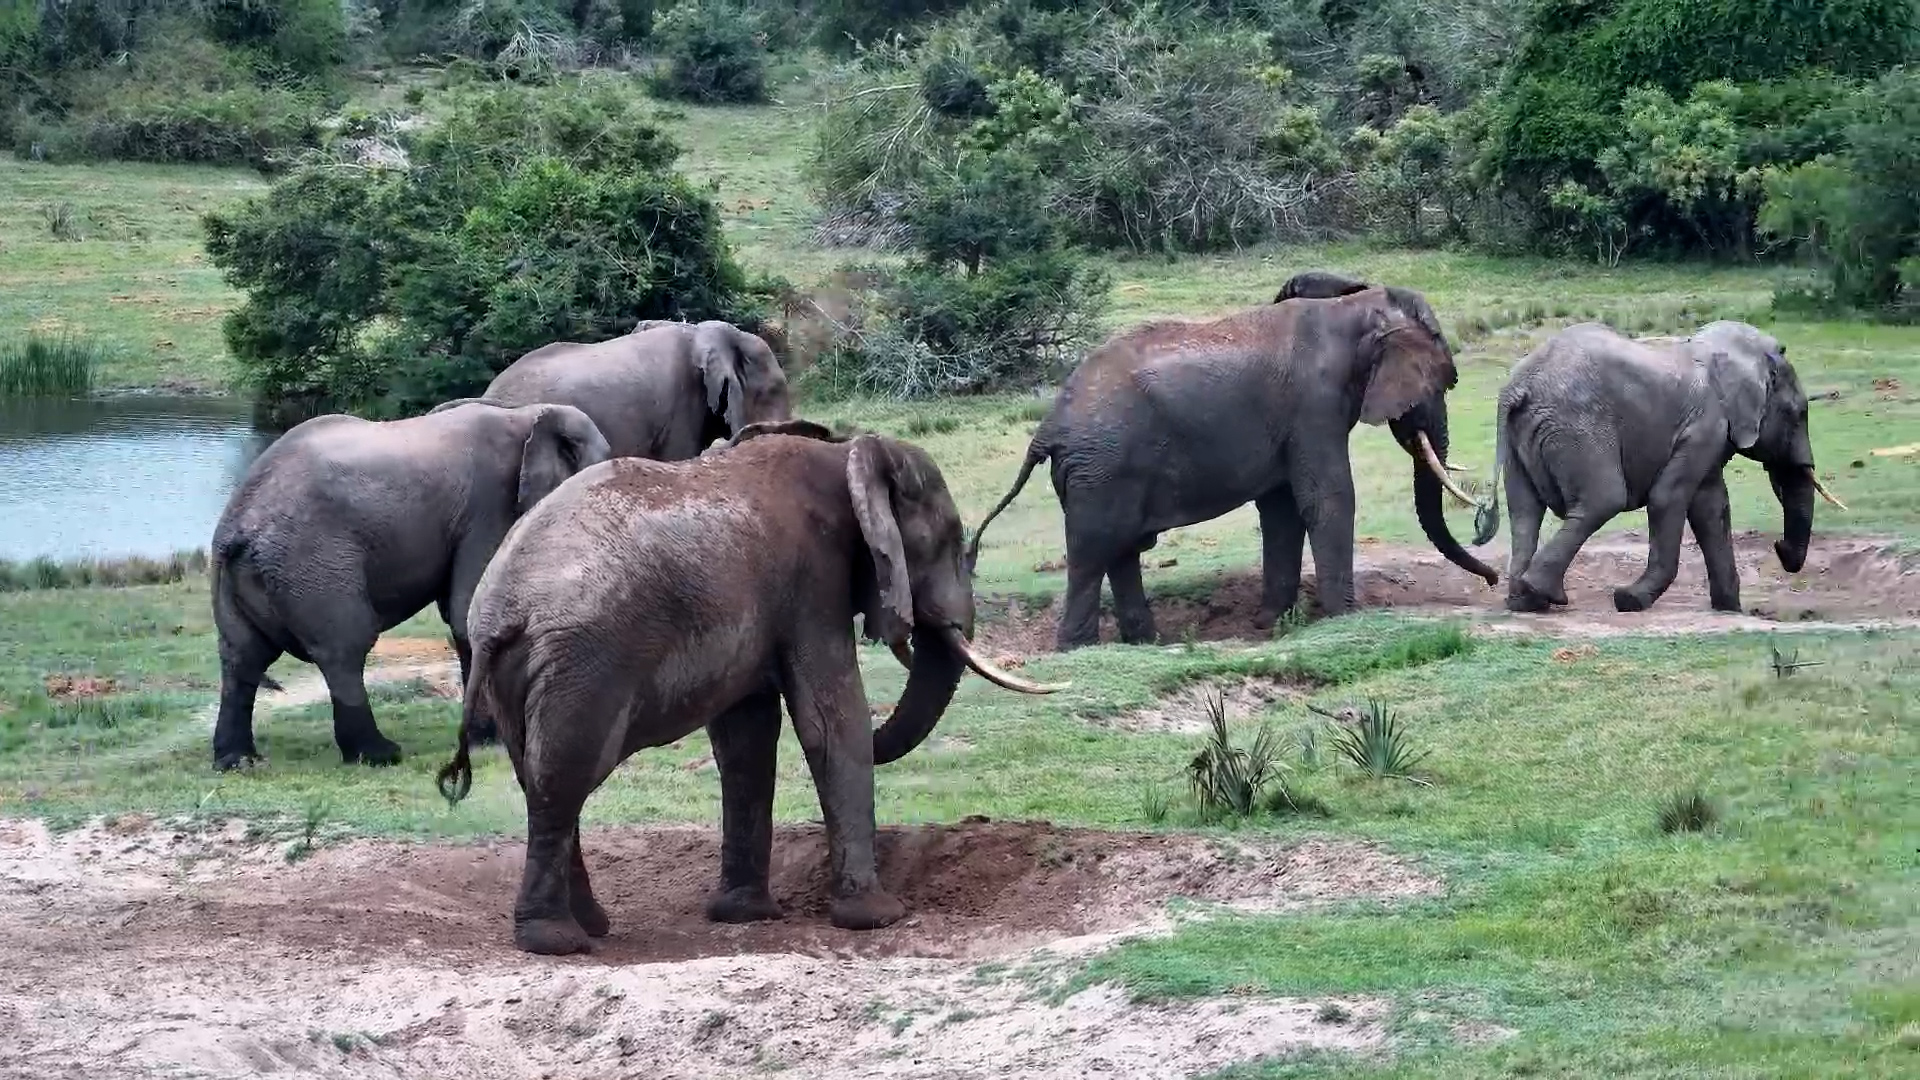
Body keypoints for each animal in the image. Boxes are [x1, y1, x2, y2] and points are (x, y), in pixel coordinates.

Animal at [209, 401, 612, 772]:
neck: (527, 414)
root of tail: (236, 525)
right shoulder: (489, 505)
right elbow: (468, 610)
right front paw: (495, 739)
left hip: (245, 577)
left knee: (242, 656)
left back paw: (237, 761)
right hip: (312, 561)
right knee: (344, 647)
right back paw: (379, 755)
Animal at [434, 421, 1065, 956]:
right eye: (954, 541)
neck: (847, 452)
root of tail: (497, 613)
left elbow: (746, 741)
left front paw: (745, 915)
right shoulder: (812, 580)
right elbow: (831, 721)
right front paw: (878, 918)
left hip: (525, 674)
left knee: (541, 780)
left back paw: (590, 927)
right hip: (582, 663)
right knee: (560, 781)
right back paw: (558, 942)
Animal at [967, 271, 1499, 651]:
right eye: (1445, 381)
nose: (1492, 579)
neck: (1354, 309)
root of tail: (1048, 427)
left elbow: (1284, 510)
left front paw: (1273, 623)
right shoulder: (1314, 405)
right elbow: (1326, 499)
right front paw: (1345, 617)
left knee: (1121, 550)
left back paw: (1146, 643)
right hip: (1102, 468)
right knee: (1094, 550)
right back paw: (1079, 650)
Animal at [1486, 319, 1846, 614]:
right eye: (1798, 414)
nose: (1779, 547)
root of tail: (1518, 387)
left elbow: (1711, 507)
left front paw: (1731, 609)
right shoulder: (1705, 425)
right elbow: (1668, 498)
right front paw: (1630, 600)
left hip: (1524, 438)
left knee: (1524, 512)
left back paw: (1524, 601)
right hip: (1579, 427)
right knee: (1603, 500)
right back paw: (1546, 595)